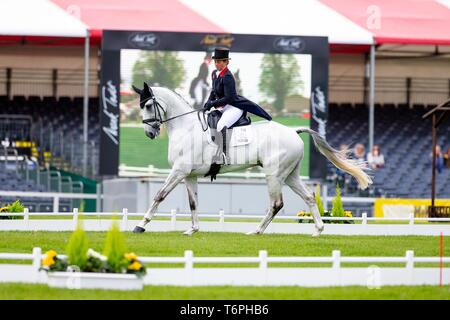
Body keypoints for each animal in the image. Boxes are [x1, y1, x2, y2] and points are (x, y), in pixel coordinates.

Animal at [131, 84, 372, 236]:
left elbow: (159, 195)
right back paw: (318, 231)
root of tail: (293, 131)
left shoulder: (179, 171)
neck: (186, 128)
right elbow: (193, 203)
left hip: (274, 175)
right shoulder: (189, 175)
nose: (149, 133)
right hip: (290, 175)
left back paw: (256, 231)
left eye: (148, 105)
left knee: (276, 204)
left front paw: (141, 225)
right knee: (309, 197)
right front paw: (192, 229)